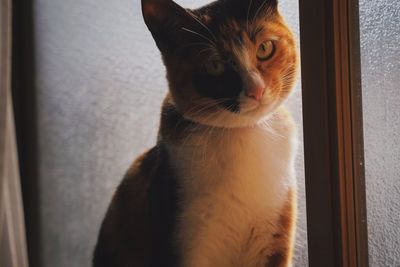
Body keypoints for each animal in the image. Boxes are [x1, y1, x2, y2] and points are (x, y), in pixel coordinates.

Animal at [93, 0, 296, 266]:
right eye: (215, 65)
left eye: (264, 48)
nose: (257, 90)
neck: (244, 136)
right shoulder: (184, 239)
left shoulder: (275, 240)